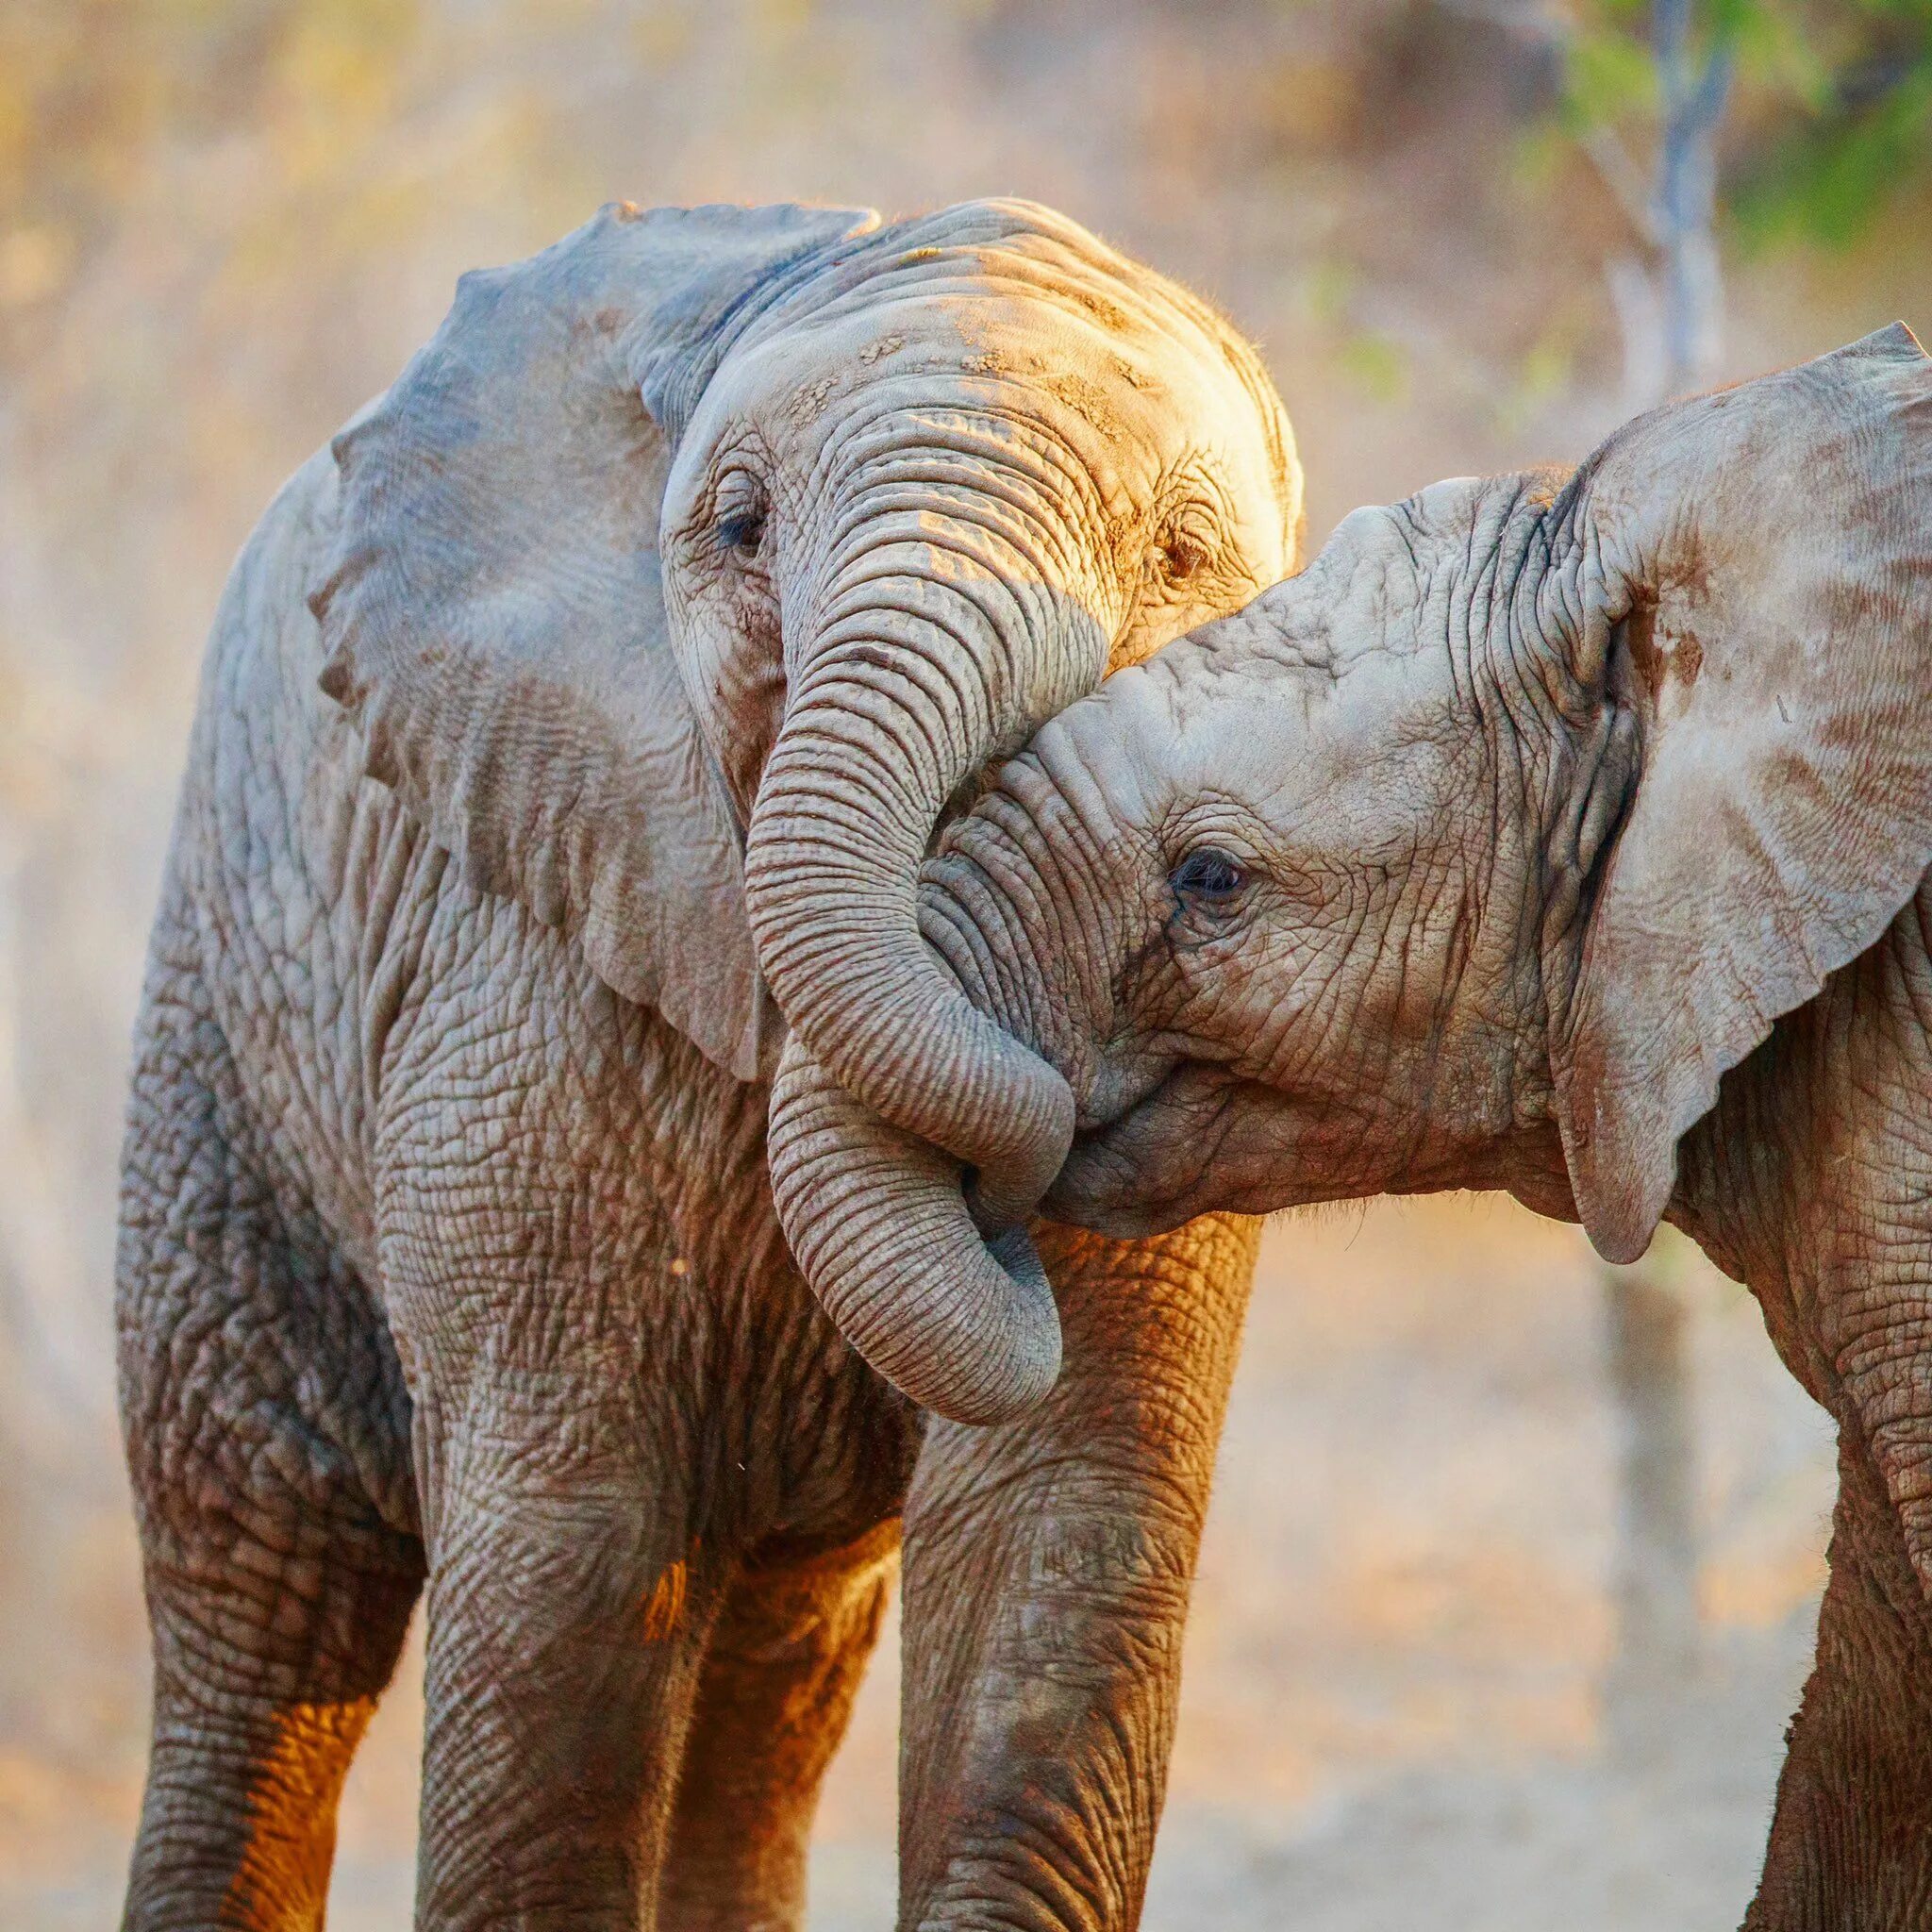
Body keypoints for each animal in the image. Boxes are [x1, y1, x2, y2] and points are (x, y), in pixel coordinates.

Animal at [112, 199, 1306, 1932]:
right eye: (737, 527)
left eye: (1182, 560)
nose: (1011, 1186)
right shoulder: (522, 960)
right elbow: (572, 1554)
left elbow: (1055, 1524)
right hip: (224, 1014)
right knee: (261, 1582)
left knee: (773, 1665)